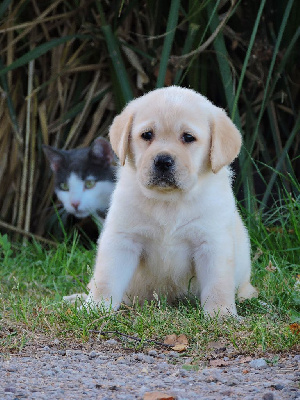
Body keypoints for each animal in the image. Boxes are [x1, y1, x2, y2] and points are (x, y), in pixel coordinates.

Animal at [84, 86, 258, 316]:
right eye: (147, 135)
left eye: (188, 137)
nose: (163, 161)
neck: (168, 201)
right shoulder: (123, 239)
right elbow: (106, 279)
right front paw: (95, 307)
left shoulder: (212, 243)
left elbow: (218, 285)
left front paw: (221, 313)